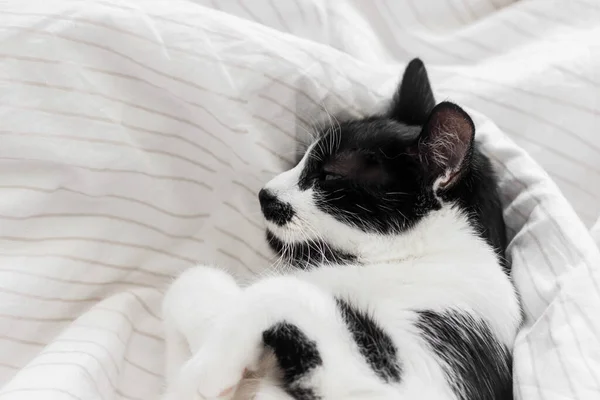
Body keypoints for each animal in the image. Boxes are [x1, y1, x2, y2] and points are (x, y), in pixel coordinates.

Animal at [161, 57, 520, 400]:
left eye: (329, 175)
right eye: (300, 159)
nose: (265, 195)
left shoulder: (417, 378)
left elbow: (283, 290)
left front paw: (205, 373)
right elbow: (194, 279)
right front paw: (211, 333)